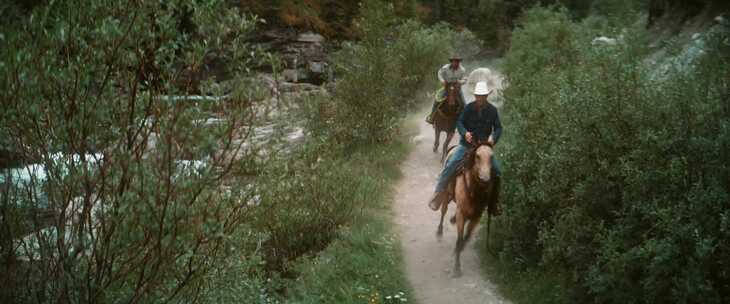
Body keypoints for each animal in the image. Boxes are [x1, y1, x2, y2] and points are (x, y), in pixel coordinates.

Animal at [436, 141, 498, 276]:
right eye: (477, 156)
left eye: (492, 157)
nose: (485, 180)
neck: (475, 192)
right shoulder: (462, 214)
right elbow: (459, 239)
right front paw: (457, 267)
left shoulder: (477, 216)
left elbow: (467, 236)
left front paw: (459, 249)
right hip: (446, 195)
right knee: (443, 211)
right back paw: (439, 231)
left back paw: (452, 219)